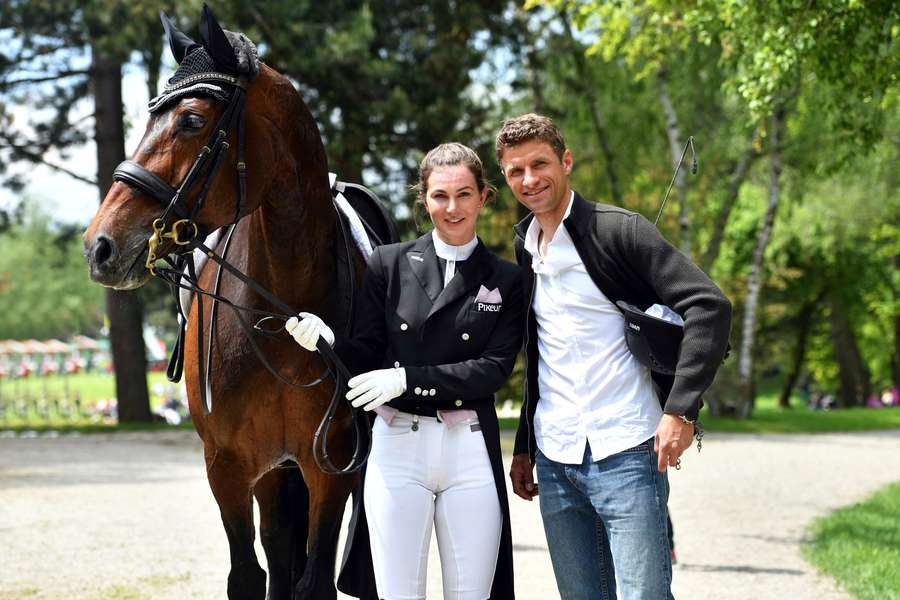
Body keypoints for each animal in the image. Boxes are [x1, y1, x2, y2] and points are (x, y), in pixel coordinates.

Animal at [82, 8, 382, 600]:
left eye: (192, 121)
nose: (100, 245)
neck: (283, 315)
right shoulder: (227, 465)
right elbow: (249, 574)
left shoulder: (331, 463)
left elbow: (314, 578)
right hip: (269, 471)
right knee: (278, 549)